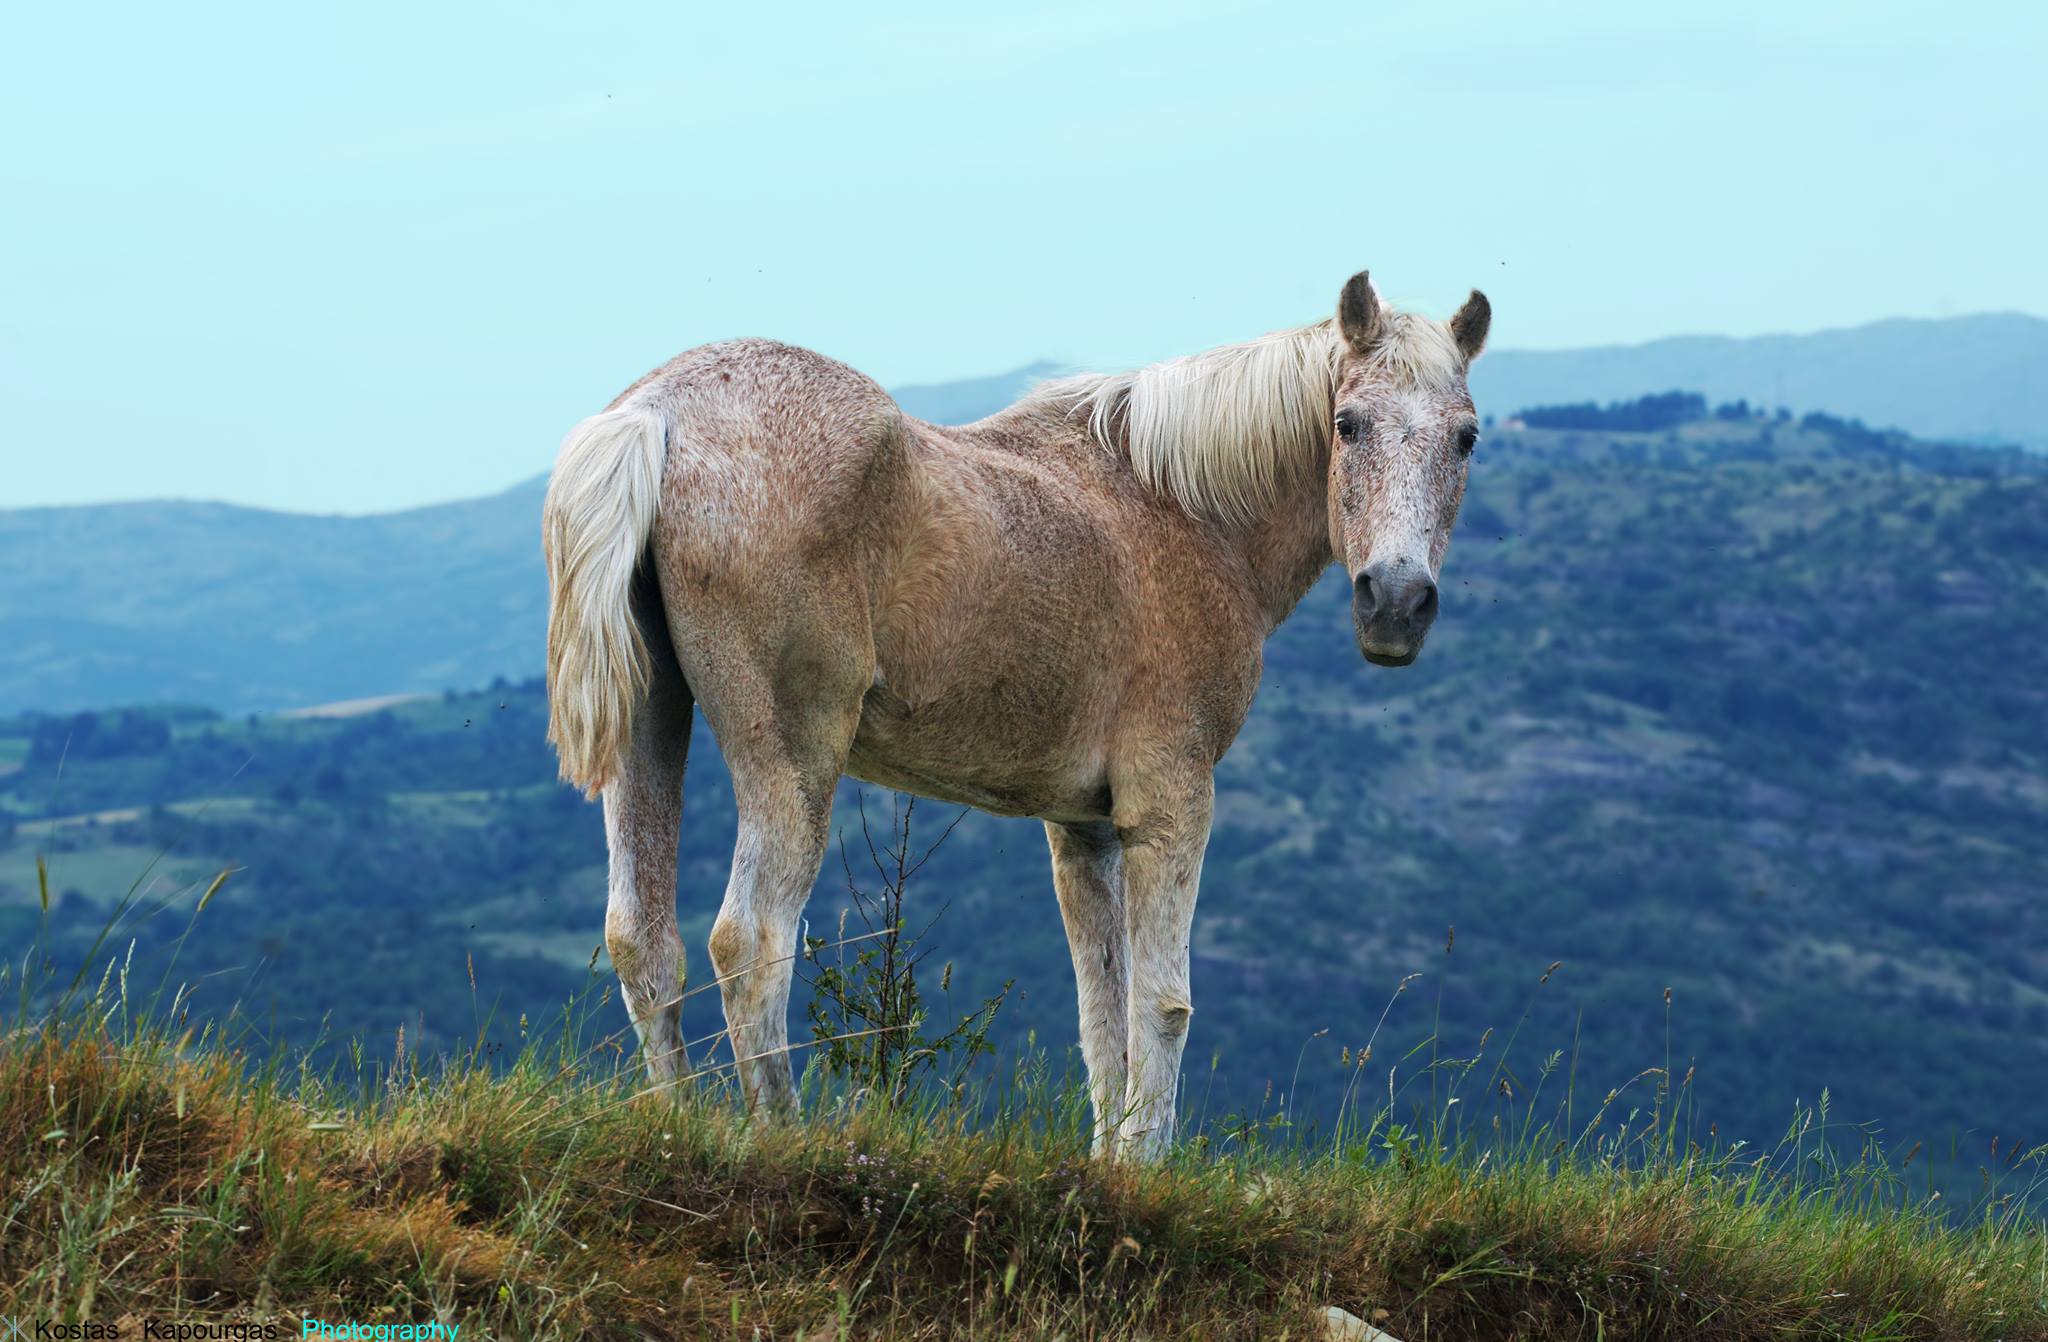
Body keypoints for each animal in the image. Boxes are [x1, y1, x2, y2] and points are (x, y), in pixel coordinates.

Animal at [540, 270, 1490, 1155]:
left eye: (1467, 436)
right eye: (1348, 424)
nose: (1396, 603)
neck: (1182, 510)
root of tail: (657, 416)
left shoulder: (1084, 829)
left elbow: (1103, 1013)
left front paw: (1109, 1167)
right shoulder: (1171, 804)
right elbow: (1162, 1004)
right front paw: (1145, 1169)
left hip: (649, 727)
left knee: (643, 939)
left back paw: (678, 1125)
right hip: (793, 759)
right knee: (750, 943)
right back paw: (780, 1137)